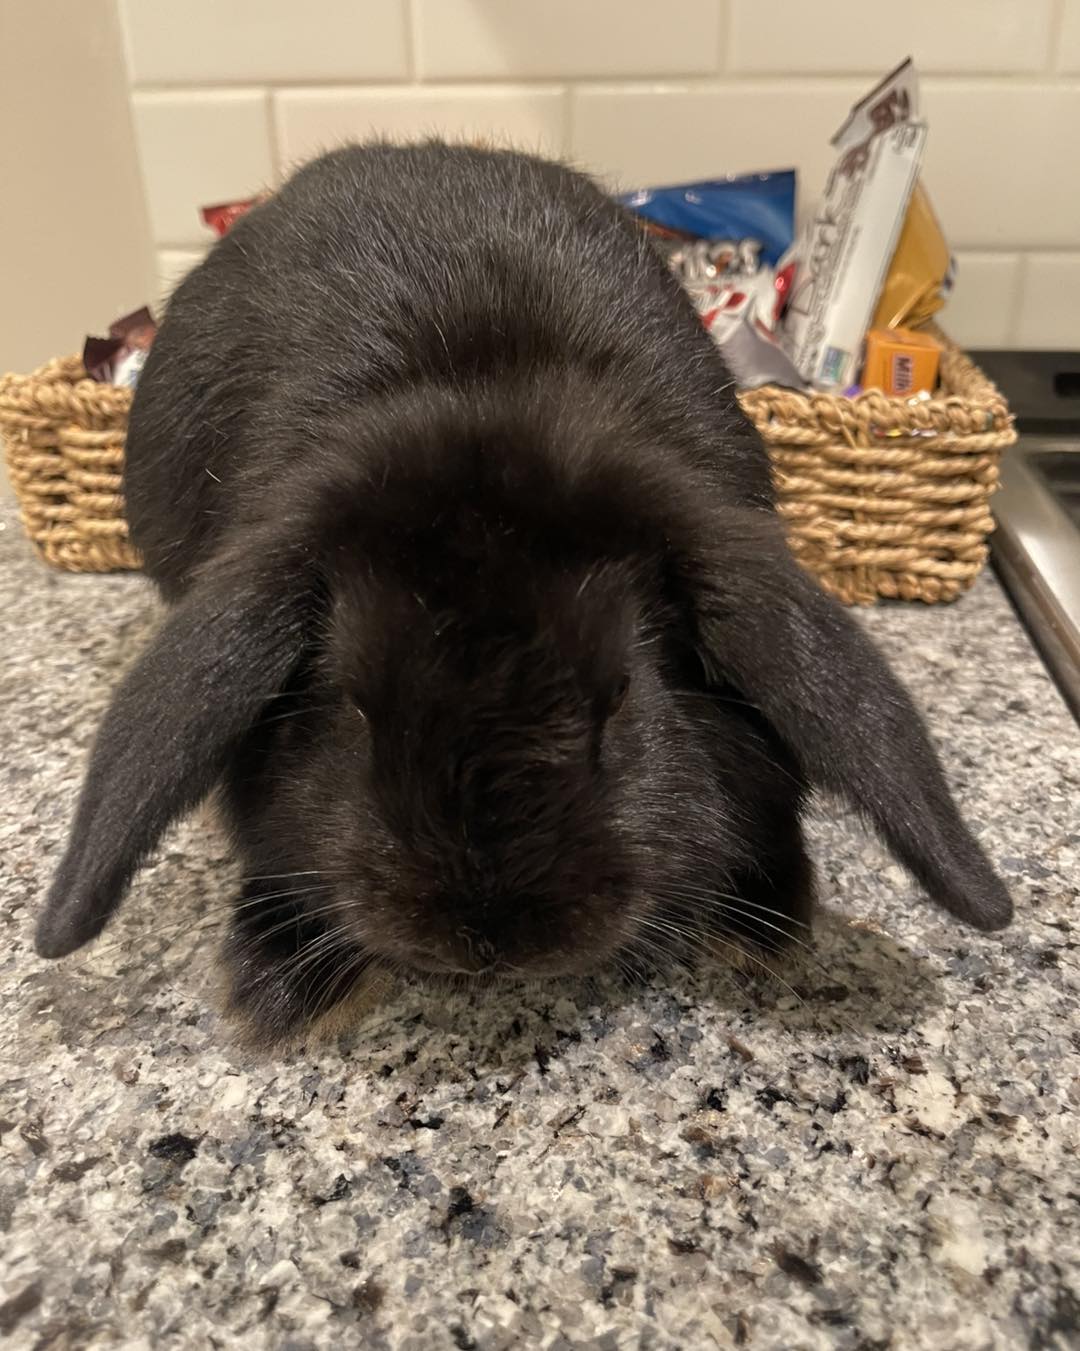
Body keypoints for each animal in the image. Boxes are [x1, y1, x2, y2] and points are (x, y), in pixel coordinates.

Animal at [34, 141, 1012, 1038]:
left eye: (624, 698)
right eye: (350, 705)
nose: (490, 938)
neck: (481, 391)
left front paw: (768, 921)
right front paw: (274, 980)